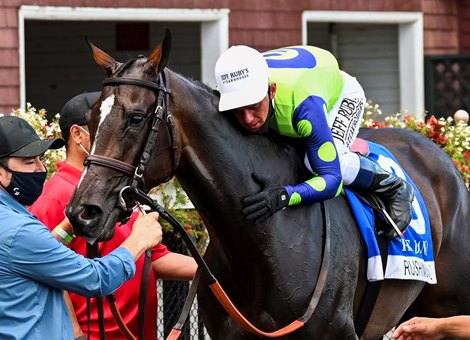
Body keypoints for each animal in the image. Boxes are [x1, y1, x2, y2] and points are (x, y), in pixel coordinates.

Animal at [67, 30, 470, 338]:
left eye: (136, 117)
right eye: (92, 117)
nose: (83, 212)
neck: (261, 247)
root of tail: (436, 149)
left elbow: (330, 172)